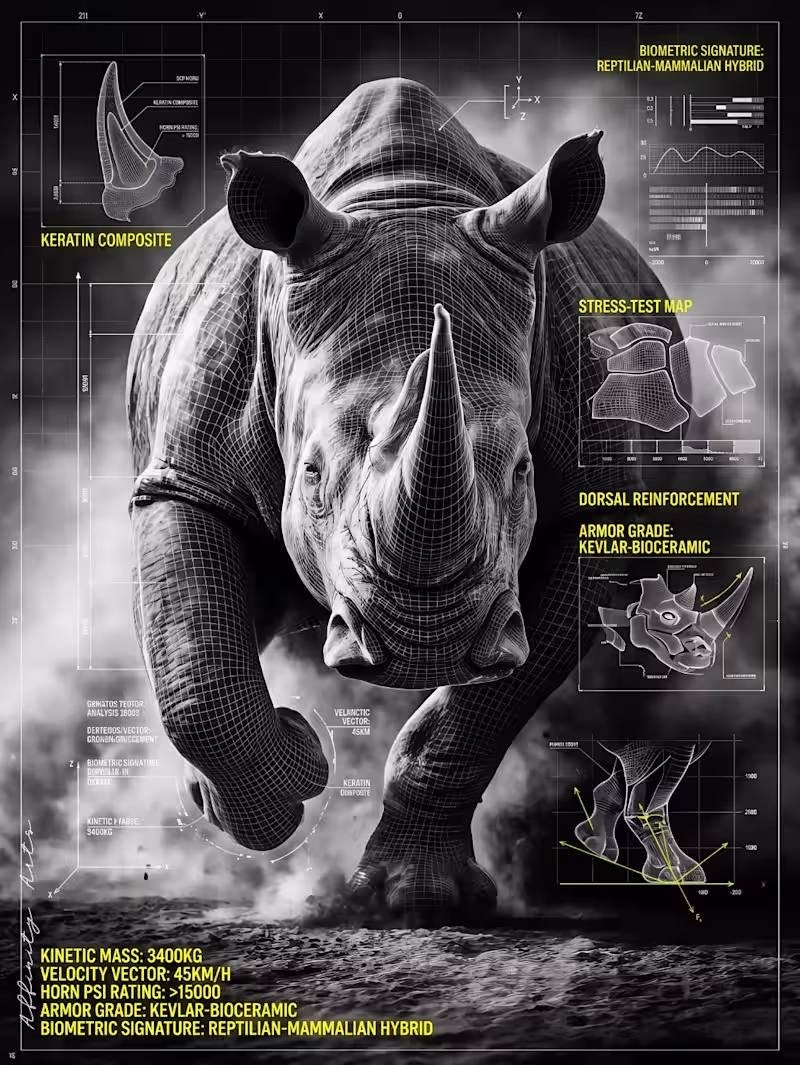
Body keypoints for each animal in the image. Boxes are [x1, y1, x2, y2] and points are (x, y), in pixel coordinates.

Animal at [127, 78, 718, 916]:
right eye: (311, 473)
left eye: (522, 471)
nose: (424, 643)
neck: (401, 198)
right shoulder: (187, 479)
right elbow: (196, 673)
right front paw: (297, 768)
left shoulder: (592, 517)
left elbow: (476, 717)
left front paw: (416, 900)